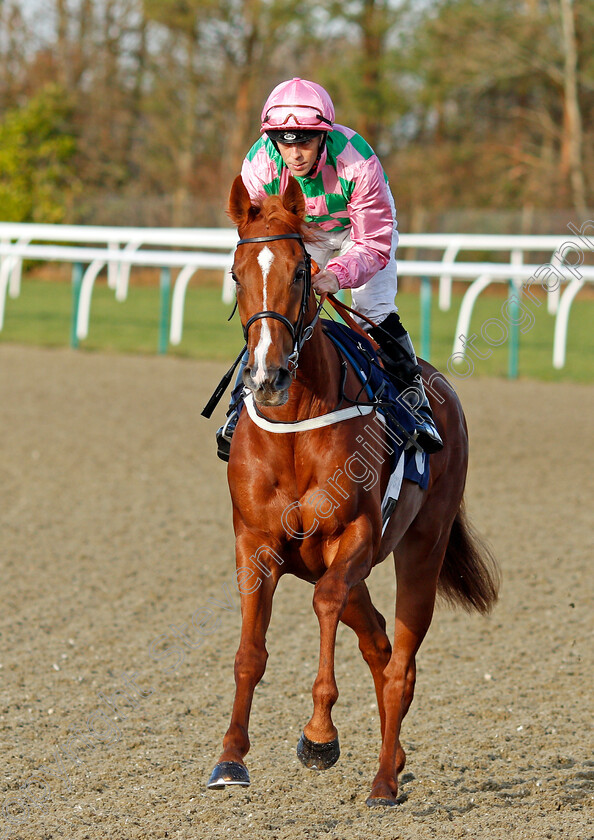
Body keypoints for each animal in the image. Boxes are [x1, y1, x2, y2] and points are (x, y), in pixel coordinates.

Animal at [206, 172, 498, 808]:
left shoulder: (356, 534)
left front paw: (319, 736)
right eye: (237, 274)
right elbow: (249, 653)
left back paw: (385, 779)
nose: (267, 377)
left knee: (400, 662)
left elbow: (324, 605)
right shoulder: (254, 542)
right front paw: (230, 758)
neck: (295, 425)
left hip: (420, 548)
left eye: (301, 272)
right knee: (379, 644)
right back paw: (396, 757)